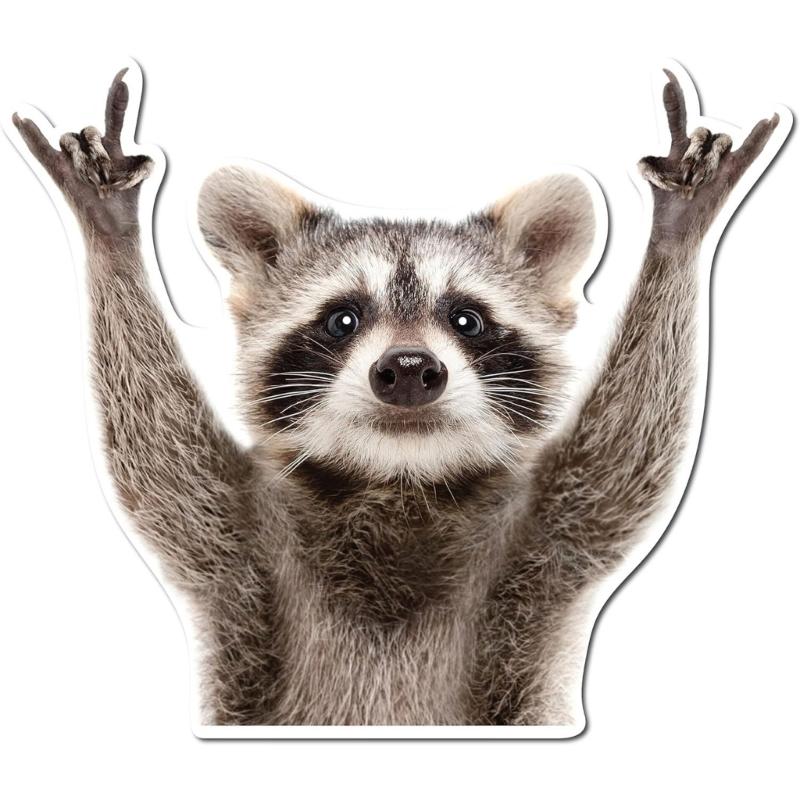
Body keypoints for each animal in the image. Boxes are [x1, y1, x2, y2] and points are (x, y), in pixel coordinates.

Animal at [11, 66, 783, 726]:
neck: (398, 480)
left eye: (466, 319)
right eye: (342, 319)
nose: (410, 369)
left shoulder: (546, 540)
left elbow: (627, 455)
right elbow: (157, 454)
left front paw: (677, 235)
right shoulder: (239, 542)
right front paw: (111, 235)